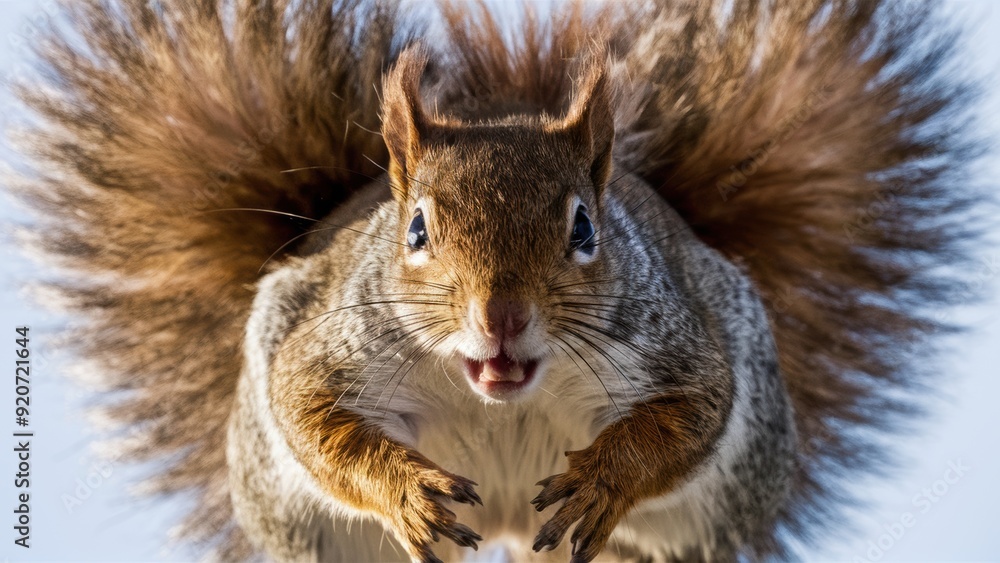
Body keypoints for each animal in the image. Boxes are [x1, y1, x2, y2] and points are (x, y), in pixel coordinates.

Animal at [5, 0, 984, 561]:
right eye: (415, 229)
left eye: (584, 228)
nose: (501, 315)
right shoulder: (327, 339)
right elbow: (311, 414)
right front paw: (404, 489)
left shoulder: (677, 339)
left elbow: (693, 413)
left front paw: (605, 477)